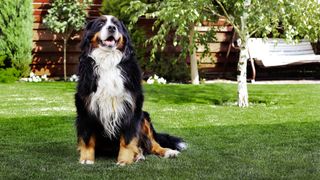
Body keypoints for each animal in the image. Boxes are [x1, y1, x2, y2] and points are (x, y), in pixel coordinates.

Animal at [74, 14, 185, 165]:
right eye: (101, 23)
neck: (108, 61)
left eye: (116, 25)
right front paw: (86, 159)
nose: (111, 28)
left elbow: (127, 139)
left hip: (144, 117)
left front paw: (124, 160)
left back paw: (166, 151)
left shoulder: (131, 106)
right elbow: (87, 138)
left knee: (152, 144)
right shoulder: (85, 106)